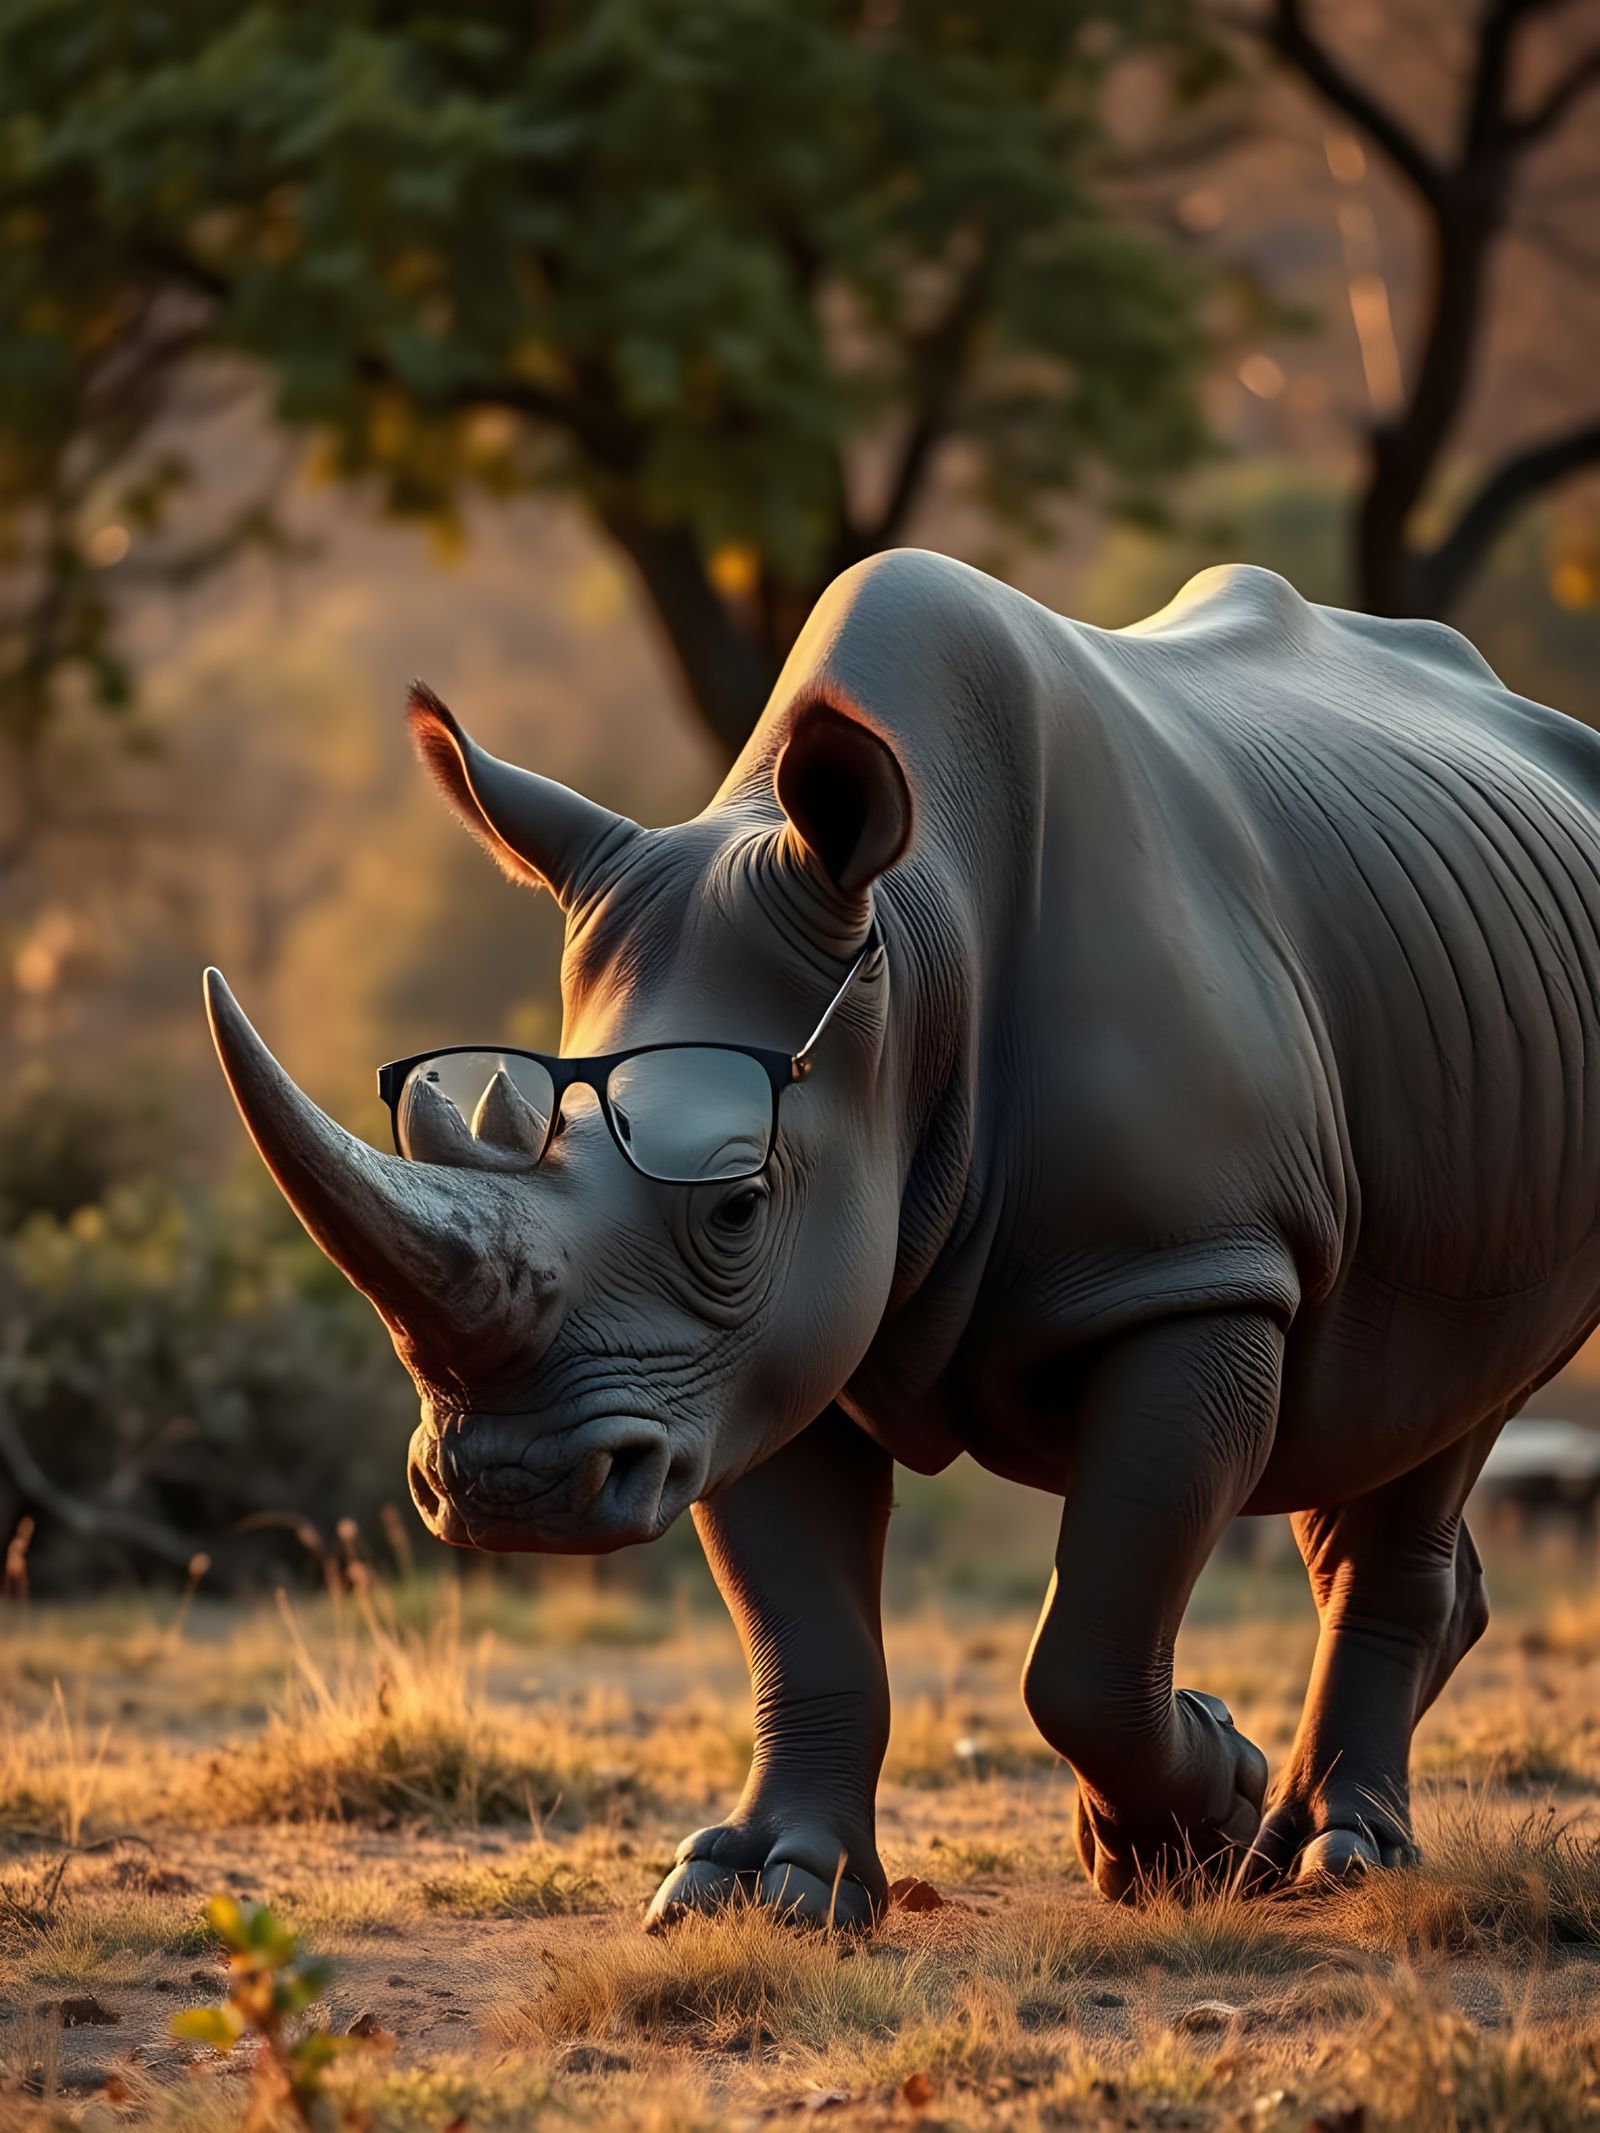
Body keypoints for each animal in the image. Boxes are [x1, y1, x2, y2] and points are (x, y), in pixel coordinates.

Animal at [206, 552, 1600, 1924]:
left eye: (735, 1203)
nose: (510, 1489)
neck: (910, 957)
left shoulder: (1188, 1267)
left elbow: (1089, 1642)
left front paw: (1189, 1827)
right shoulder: (741, 1357)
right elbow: (800, 1621)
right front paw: (760, 1888)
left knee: (1438, 1401)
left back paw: (1324, 1855)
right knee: (1356, 1416)